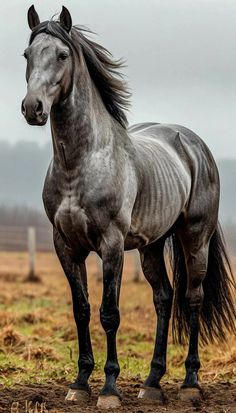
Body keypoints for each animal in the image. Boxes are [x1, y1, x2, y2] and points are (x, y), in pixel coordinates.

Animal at [21, 5, 235, 408]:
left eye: (62, 55)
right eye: (27, 55)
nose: (32, 108)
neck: (80, 162)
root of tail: (194, 144)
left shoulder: (112, 245)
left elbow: (109, 313)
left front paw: (109, 388)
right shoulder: (65, 247)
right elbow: (82, 309)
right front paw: (80, 383)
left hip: (194, 239)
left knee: (193, 299)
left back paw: (190, 383)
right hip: (152, 246)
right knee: (164, 298)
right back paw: (152, 383)